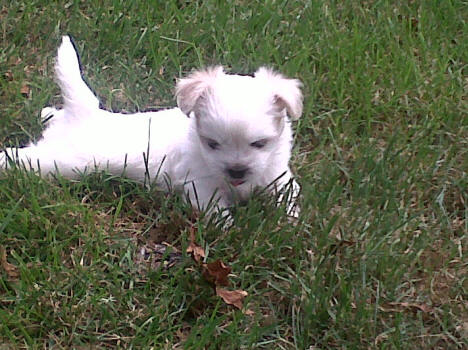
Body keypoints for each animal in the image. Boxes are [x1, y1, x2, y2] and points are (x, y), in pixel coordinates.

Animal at [0, 35, 304, 216]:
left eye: (260, 144)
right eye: (212, 144)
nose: (236, 170)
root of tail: (84, 113)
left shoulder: (278, 176)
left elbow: (288, 196)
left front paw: (290, 223)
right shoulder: (201, 185)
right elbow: (216, 211)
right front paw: (227, 234)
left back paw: (48, 113)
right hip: (60, 162)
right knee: (24, 158)